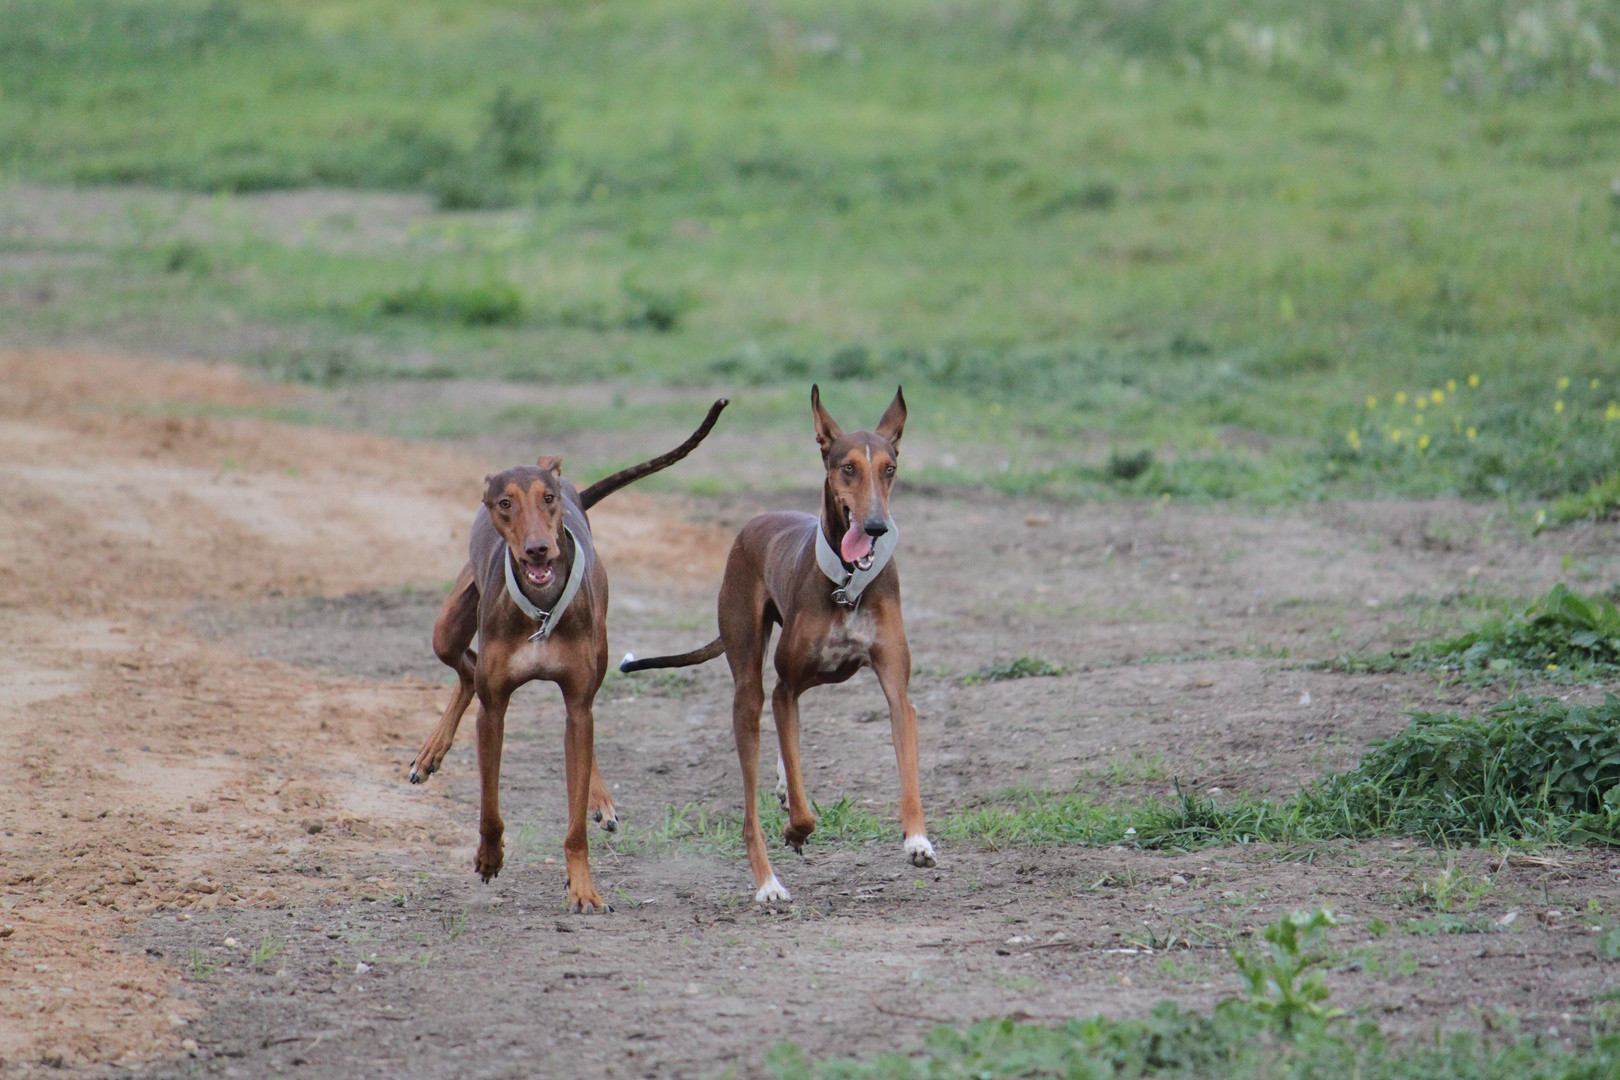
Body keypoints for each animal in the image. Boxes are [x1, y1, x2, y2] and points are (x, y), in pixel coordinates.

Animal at [622, 383, 939, 900]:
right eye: (847, 467)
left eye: (889, 469)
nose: (875, 526)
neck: (847, 584)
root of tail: (755, 523)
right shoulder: (785, 688)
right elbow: (804, 808)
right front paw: (795, 829)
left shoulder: (897, 692)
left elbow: (907, 771)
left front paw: (917, 840)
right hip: (749, 683)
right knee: (751, 805)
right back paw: (768, 882)